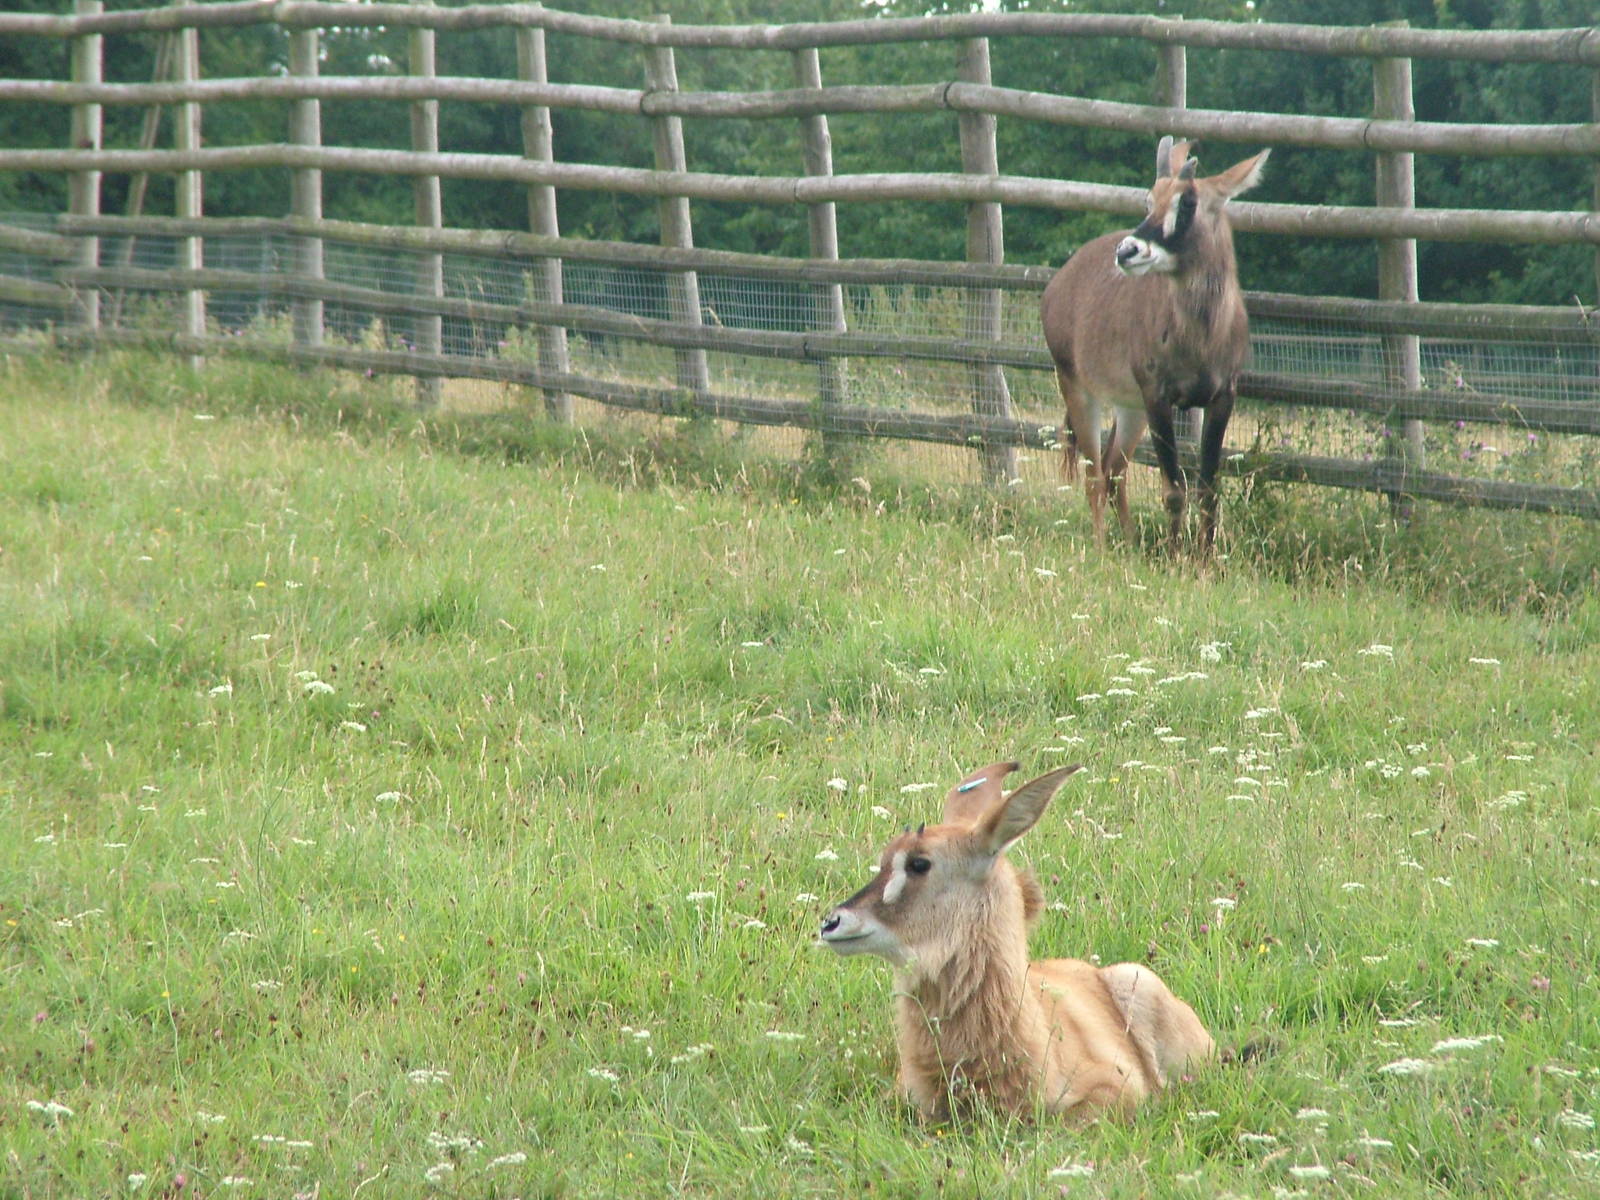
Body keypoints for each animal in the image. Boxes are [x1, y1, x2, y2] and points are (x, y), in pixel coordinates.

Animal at [1041, 137, 1269, 554]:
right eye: (1150, 199)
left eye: (1188, 201)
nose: (1127, 251)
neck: (1201, 335)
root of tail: (1060, 282)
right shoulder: (1159, 397)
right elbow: (1174, 490)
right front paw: (1176, 557)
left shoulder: (1221, 398)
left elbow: (1208, 490)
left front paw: (1204, 562)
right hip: (1079, 388)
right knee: (1094, 474)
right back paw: (1101, 548)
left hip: (1131, 409)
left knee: (1114, 469)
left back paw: (1130, 546)